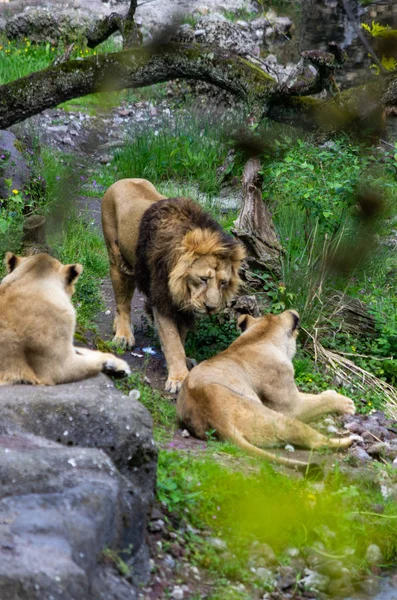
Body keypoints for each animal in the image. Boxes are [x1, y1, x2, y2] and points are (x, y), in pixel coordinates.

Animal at [101, 178, 244, 394]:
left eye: (223, 282)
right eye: (203, 279)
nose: (211, 308)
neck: (182, 288)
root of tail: (121, 180)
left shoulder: (183, 307)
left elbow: (180, 339)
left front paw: (183, 364)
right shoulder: (162, 301)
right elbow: (172, 341)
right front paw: (179, 378)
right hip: (117, 260)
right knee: (122, 303)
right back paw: (123, 335)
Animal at [177, 310, 356, 468]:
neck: (257, 338)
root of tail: (218, 421)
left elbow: (313, 396)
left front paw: (331, 393)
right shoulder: (291, 407)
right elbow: (320, 402)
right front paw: (346, 403)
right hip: (280, 419)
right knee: (317, 441)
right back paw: (351, 440)